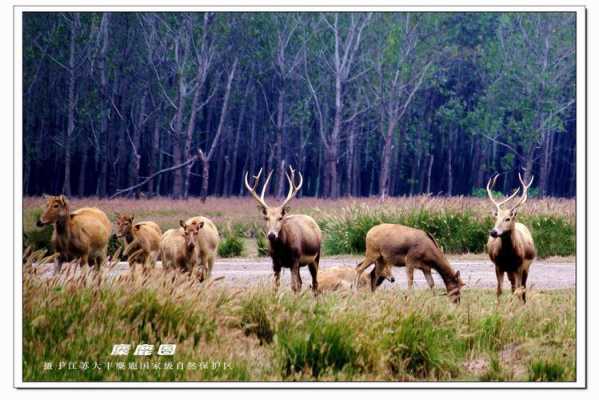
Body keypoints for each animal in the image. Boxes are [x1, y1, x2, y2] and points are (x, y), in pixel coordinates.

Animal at [243, 166, 322, 294]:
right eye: (266, 217)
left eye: (280, 217)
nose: (271, 235)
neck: (282, 250)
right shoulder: (275, 262)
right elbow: (276, 286)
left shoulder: (294, 260)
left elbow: (293, 286)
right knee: (301, 283)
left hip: (315, 257)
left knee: (315, 283)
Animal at [488, 173, 540, 304]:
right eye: (496, 218)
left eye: (507, 219)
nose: (493, 232)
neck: (508, 255)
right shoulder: (498, 265)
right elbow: (499, 290)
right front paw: (499, 306)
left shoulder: (519, 266)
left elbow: (518, 289)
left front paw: (515, 305)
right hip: (509, 270)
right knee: (513, 286)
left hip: (526, 266)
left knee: (522, 286)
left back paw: (523, 303)